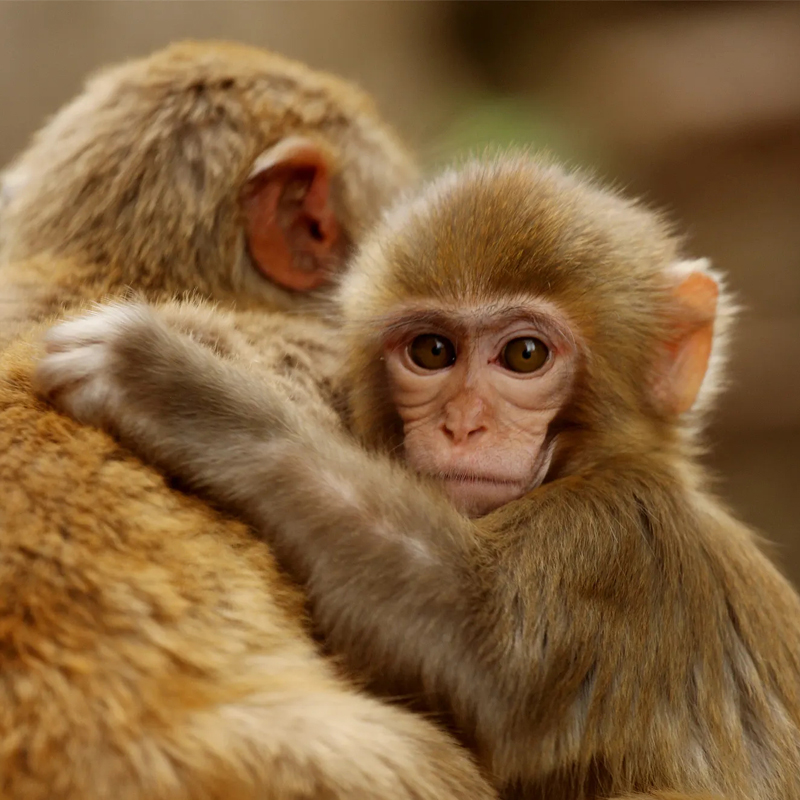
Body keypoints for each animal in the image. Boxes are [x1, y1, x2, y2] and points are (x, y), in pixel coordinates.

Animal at [34, 158, 800, 800]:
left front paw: (180, 390)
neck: (604, 461)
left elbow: (479, 649)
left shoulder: (620, 546)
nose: (462, 425)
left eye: (524, 355)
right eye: (432, 351)